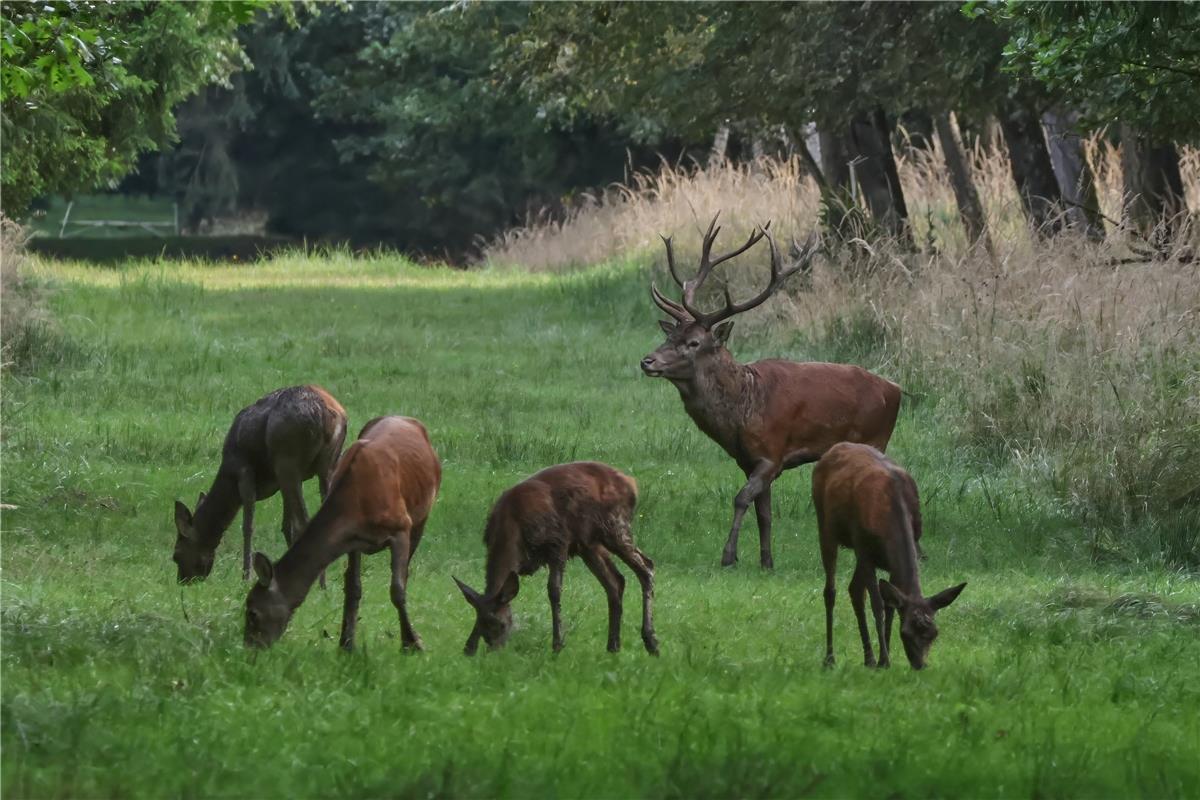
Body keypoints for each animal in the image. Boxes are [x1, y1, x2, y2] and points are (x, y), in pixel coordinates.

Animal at [171, 383, 348, 585]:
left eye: (176, 554)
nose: (183, 581)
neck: (228, 476)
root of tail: (327, 413)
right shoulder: (284, 481)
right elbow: (286, 525)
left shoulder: (244, 471)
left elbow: (248, 526)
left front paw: (246, 576)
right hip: (327, 463)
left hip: (287, 460)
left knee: (304, 522)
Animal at [242, 417, 441, 652]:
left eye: (253, 612)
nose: (249, 647)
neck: (357, 503)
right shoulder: (353, 540)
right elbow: (353, 588)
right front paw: (346, 644)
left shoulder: (401, 527)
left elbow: (397, 590)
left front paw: (412, 642)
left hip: (421, 517)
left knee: (407, 571)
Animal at [451, 462, 657, 657]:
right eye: (481, 624)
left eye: (501, 624)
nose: (494, 650)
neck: (511, 527)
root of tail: (632, 483)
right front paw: (468, 648)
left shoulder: (558, 543)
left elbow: (554, 591)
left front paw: (557, 645)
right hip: (588, 544)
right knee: (616, 582)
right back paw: (613, 646)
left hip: (616, 527)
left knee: (646, 567)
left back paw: (651, 642)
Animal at [638, 215, 902, 568]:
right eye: (670, 336)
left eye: (693, 343)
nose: (647, 360)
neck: (742, 410)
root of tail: (896, 390)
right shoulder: (748, 460)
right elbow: (764, 512)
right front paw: (766, 561)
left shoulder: (772, 452)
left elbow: (740, 499)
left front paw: (729, 556)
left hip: (876, 437)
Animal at [806, 443, 964, 671]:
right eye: (905, 633)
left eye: (934, 633)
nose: (920, 665)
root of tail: (833, 449)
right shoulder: (863, 548)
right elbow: (878, 605)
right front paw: (885, 659)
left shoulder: (891, 560)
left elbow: (890, 606)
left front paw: (884, 658)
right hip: (826, 527)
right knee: (831, 591)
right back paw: (830, 658)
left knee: (854, 589)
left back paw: (868, 658)